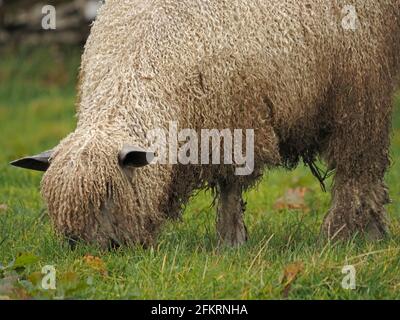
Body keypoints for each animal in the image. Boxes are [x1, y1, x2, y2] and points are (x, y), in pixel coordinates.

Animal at [10, 0, 400, 248]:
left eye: (108, 196)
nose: (89, 255)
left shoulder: (236, 121)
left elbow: (229, 187)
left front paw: (230, 243)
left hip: (361, 90)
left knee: (359, 171)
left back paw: (350, 236)